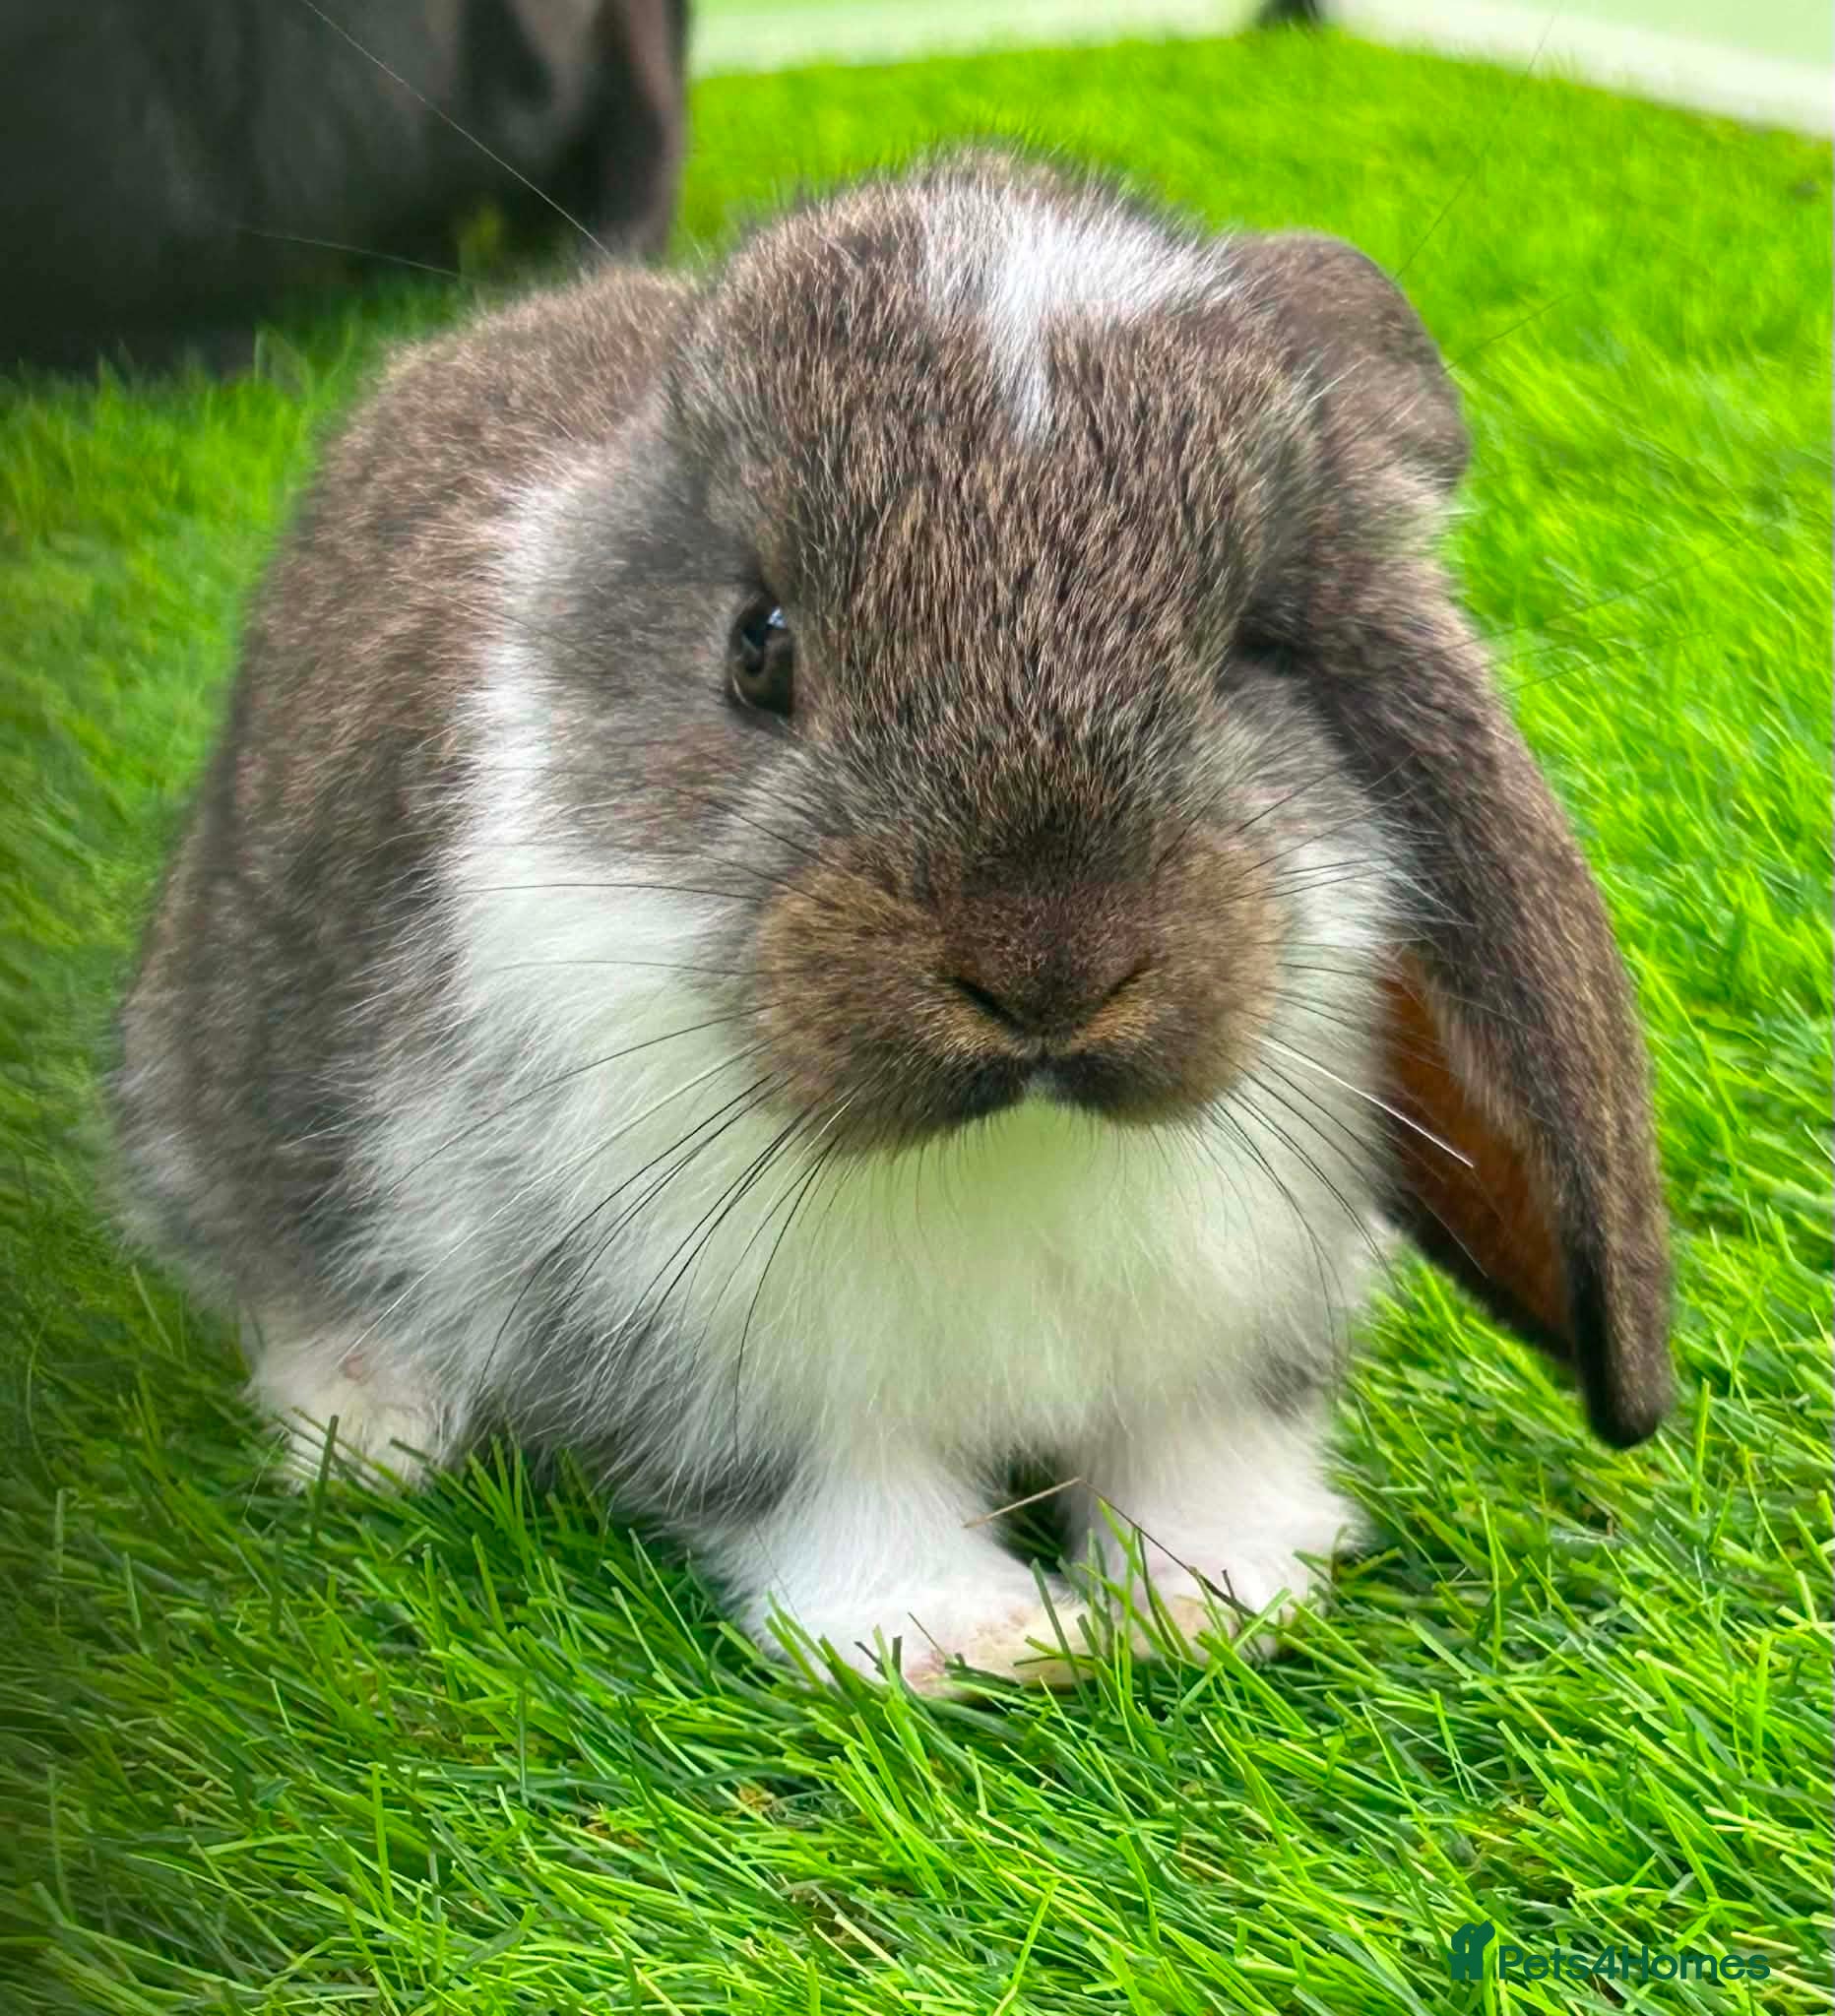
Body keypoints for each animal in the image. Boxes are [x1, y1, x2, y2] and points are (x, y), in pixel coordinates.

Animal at [111, 152, 1673, 1690]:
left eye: (1259, 647)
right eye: (759, 646)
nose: (1050, 973)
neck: (1022, 1139)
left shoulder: (1232, 1345)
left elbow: (1201, 1455)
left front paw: (1214, 1599)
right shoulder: (714, 1353)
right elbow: (841, 1497)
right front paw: (970, 1641)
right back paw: (369, 1425)